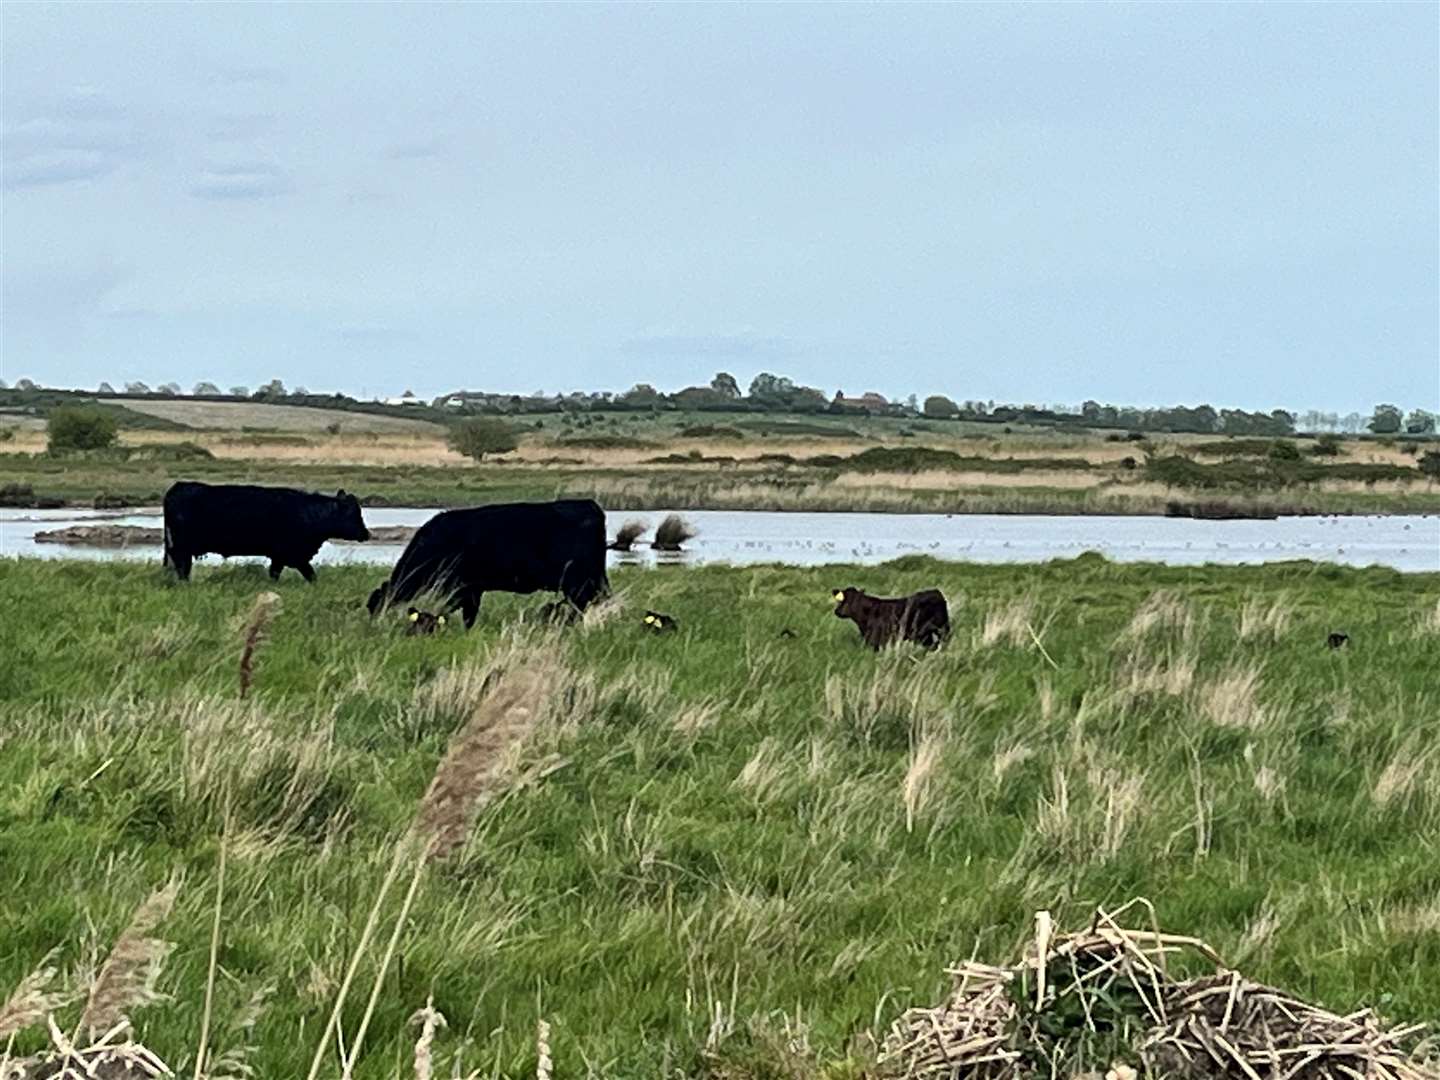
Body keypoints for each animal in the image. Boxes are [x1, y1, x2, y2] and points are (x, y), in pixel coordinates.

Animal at [162, 480, 371, 584]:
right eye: (353, 513)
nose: (366, 534)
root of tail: (177, 487)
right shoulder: (293, 554)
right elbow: (310, 574)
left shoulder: (280, 557)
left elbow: (276, 574)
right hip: (181, 545)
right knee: (182, 566)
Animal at [365, 501, 607, 630]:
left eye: (374, 606)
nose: (370, 626)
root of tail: (590, 506)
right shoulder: (471, 589)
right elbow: (466, 614)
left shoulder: (463, 587)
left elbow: (461, 613)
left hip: (578, 582)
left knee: (579, 606)